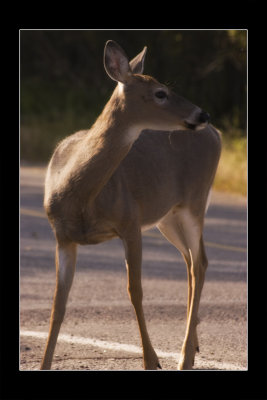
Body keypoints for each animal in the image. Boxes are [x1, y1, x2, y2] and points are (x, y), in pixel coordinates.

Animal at [40, 40, 222, 372]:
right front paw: (44, 364)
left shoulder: (130, 222)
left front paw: (151, 360)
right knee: (191, 261)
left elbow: (134, 291)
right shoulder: (62, 237)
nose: (203, 114)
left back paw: (184, 357)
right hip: (168, 216)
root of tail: (217, 135)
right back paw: (192, 345)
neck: (79, 194)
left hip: (194, 201)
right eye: (160, 92)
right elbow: (59, 303)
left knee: (199, 262)